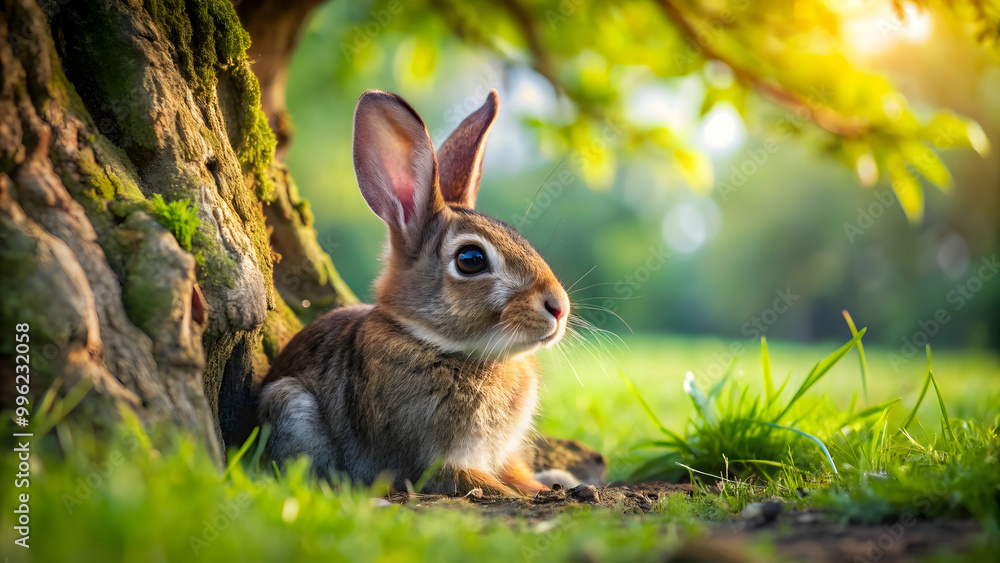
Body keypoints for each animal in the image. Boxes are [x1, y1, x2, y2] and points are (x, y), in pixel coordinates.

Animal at [258, 88, 570, 496]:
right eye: (471, 259)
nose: (559, 307)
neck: (435, 342)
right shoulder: (431, 461)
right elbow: (477, 481)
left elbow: (516, 474)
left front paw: (546, 487)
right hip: (290, 403)